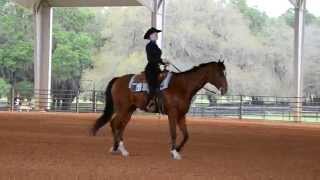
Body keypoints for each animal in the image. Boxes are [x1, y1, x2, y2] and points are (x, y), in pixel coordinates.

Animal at [91, 61, 229, 160]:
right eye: (220, 73)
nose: (225, 89)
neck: (182, 86)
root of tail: (118, 79)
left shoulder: (181, 115)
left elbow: (186, 135)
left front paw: (177, 150)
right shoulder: (172, 114)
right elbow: (174, 133)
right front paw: (174, 152)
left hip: (129, 110)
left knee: (120, 126)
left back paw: (117, 148)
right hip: (122, 108)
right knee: (114, 123)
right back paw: (120, 150)